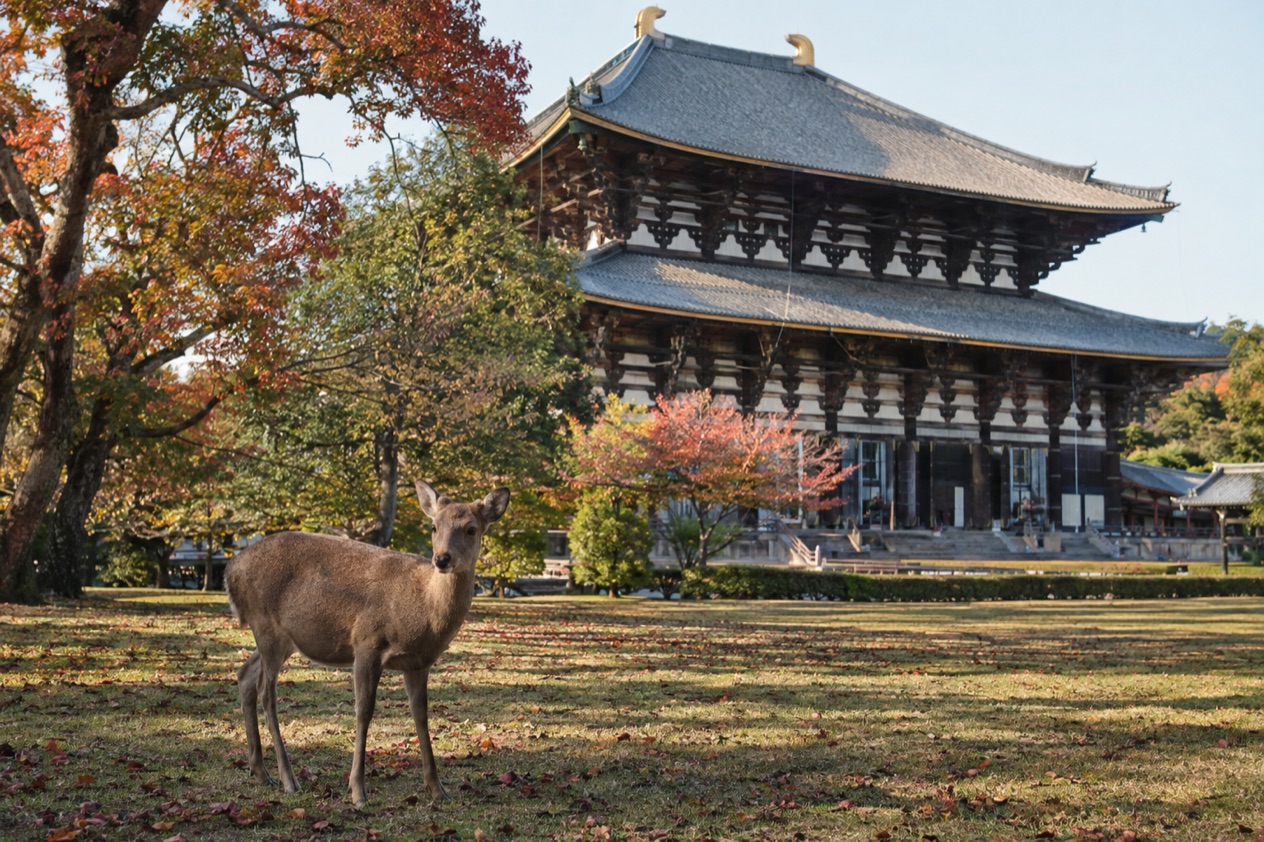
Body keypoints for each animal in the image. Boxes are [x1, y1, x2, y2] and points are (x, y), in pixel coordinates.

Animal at [224, 480, 509, 807]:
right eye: (434, 526)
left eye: (471, 529)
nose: (442, 559)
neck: (423, 610)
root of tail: (229, 572)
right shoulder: (366, 643)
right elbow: (364, 711)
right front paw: (358, 791)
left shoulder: (418, 663)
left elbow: (421, 716)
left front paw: (437, 789)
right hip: (265, 624)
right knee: (266, 692)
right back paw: (288, 779)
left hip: (282, 639)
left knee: (245, 675)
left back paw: (261, 772)